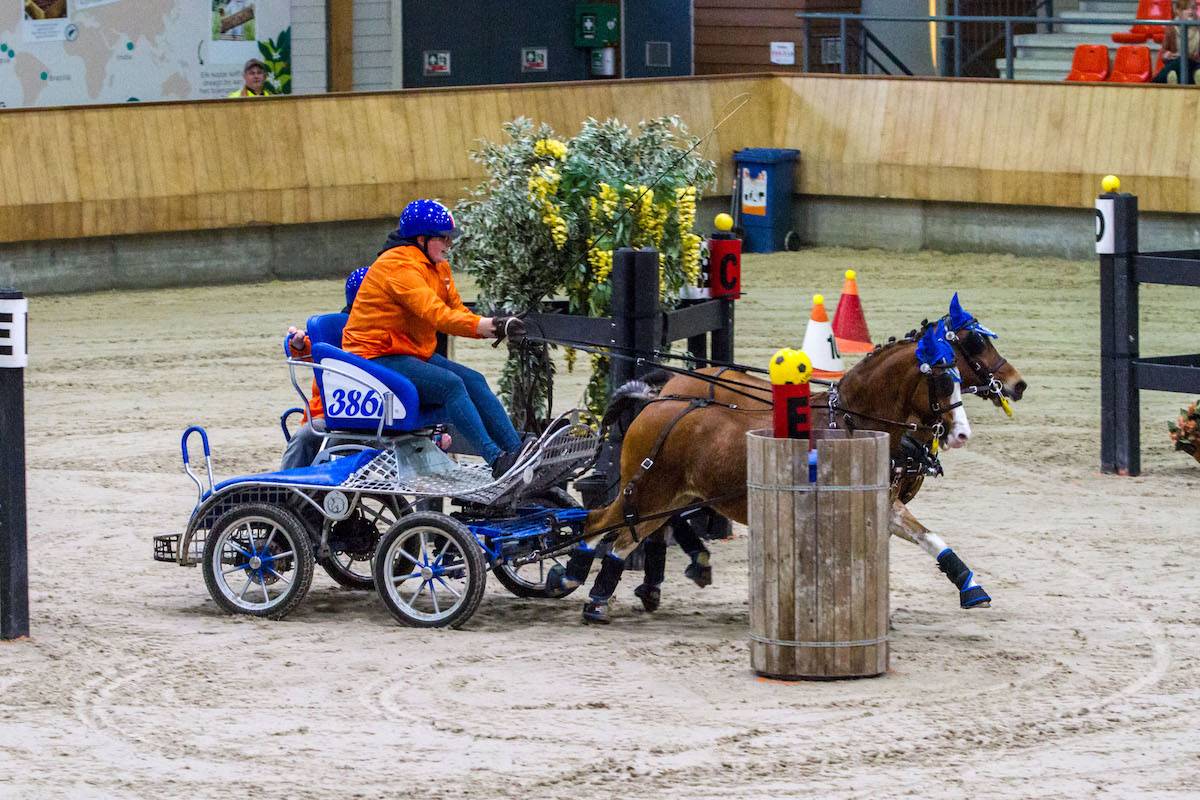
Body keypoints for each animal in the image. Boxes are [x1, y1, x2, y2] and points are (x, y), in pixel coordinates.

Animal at [551, 294, 1025, 623]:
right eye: (974, 345)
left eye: (958, 375)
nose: (1018, 384)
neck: (851, 417)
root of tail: (657, 401)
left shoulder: (885, 501)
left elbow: (930, 538)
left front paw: (971, 586)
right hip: (648, 490)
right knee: (600, 524)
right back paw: (578, 582)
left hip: (665, 498)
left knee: (627, 536)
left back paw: (610, 590)